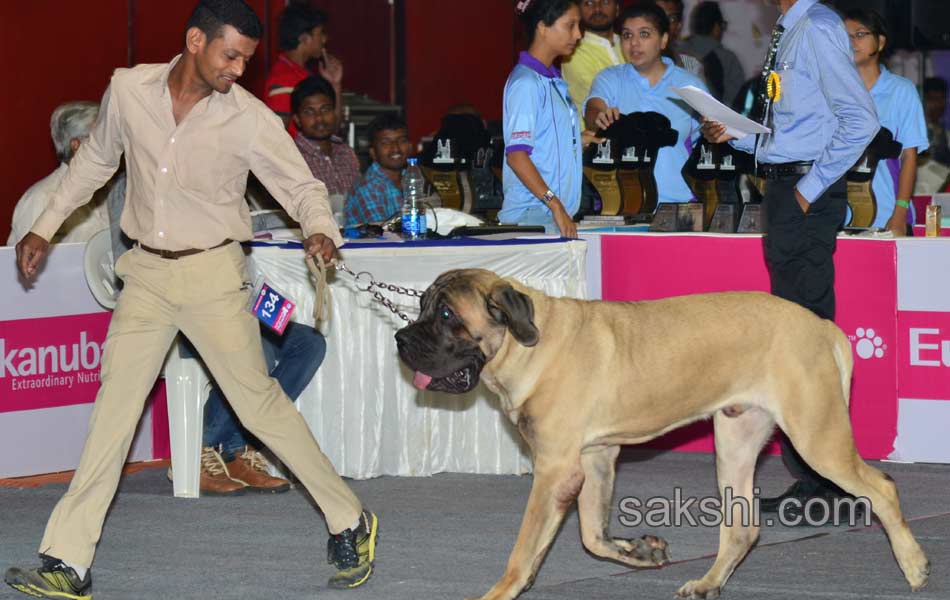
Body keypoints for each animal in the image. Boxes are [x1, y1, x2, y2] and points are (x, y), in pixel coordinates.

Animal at [394, 270, 928, 596]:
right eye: (420, 306)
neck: (528, 346)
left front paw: (500, 590)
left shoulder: (554, 470)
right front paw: (642, 551)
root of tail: (821, 325)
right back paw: (707, 583)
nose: (399, 338)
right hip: (735, 440)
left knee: (882, 487)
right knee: (743, 527)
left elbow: (525, 549)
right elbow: (592, 534)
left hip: (817, 435)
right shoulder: (593, 459)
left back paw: (914, 564)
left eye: (447, 316)